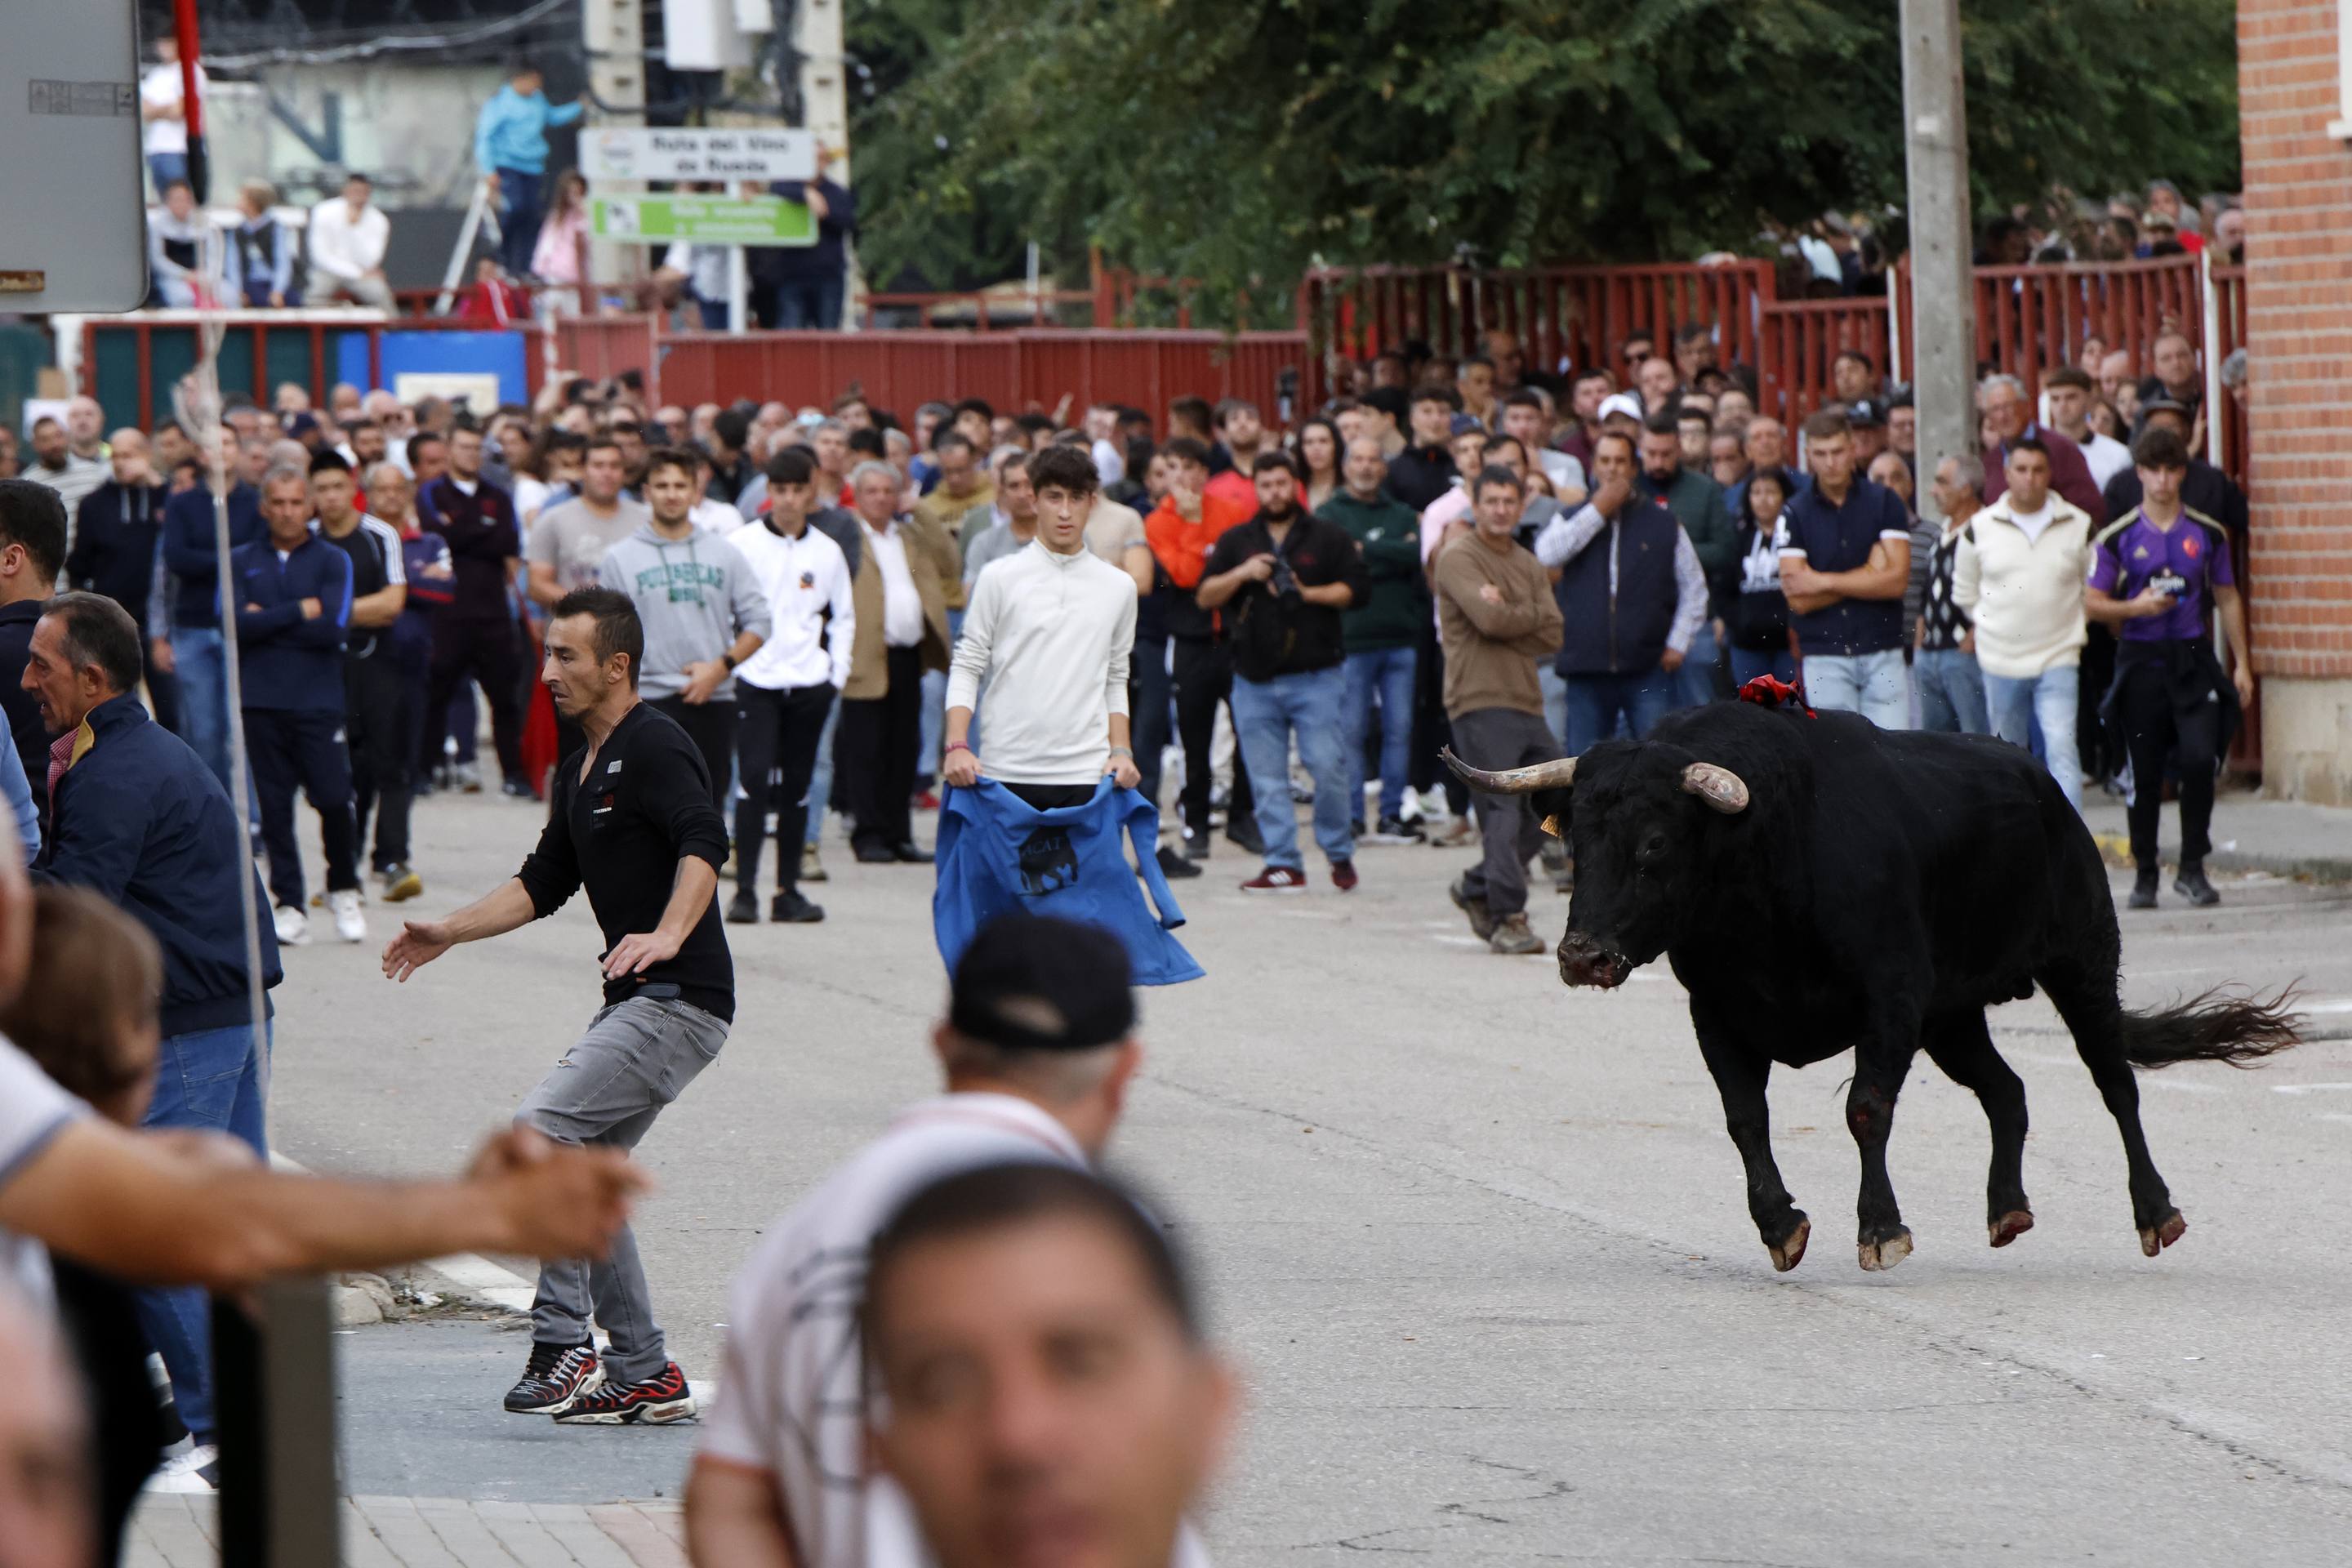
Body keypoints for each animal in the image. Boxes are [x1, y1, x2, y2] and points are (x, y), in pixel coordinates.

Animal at [1430, 705, 2295, 1269]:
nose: (1583, 954)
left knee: (2116, 1084)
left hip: (2080, 962)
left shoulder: (1891, 999)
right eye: (1575, 839)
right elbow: (1745, 1120)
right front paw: (1780, 1226)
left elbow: (1866, 1110)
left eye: (1652, 843)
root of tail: (2042, 783)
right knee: (2007, 1091)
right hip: (1954, 1016)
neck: (1765, 865)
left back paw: (2157, 1213)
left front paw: (1880, 1231)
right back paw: (2006, 1210)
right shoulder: (1720, 1017)